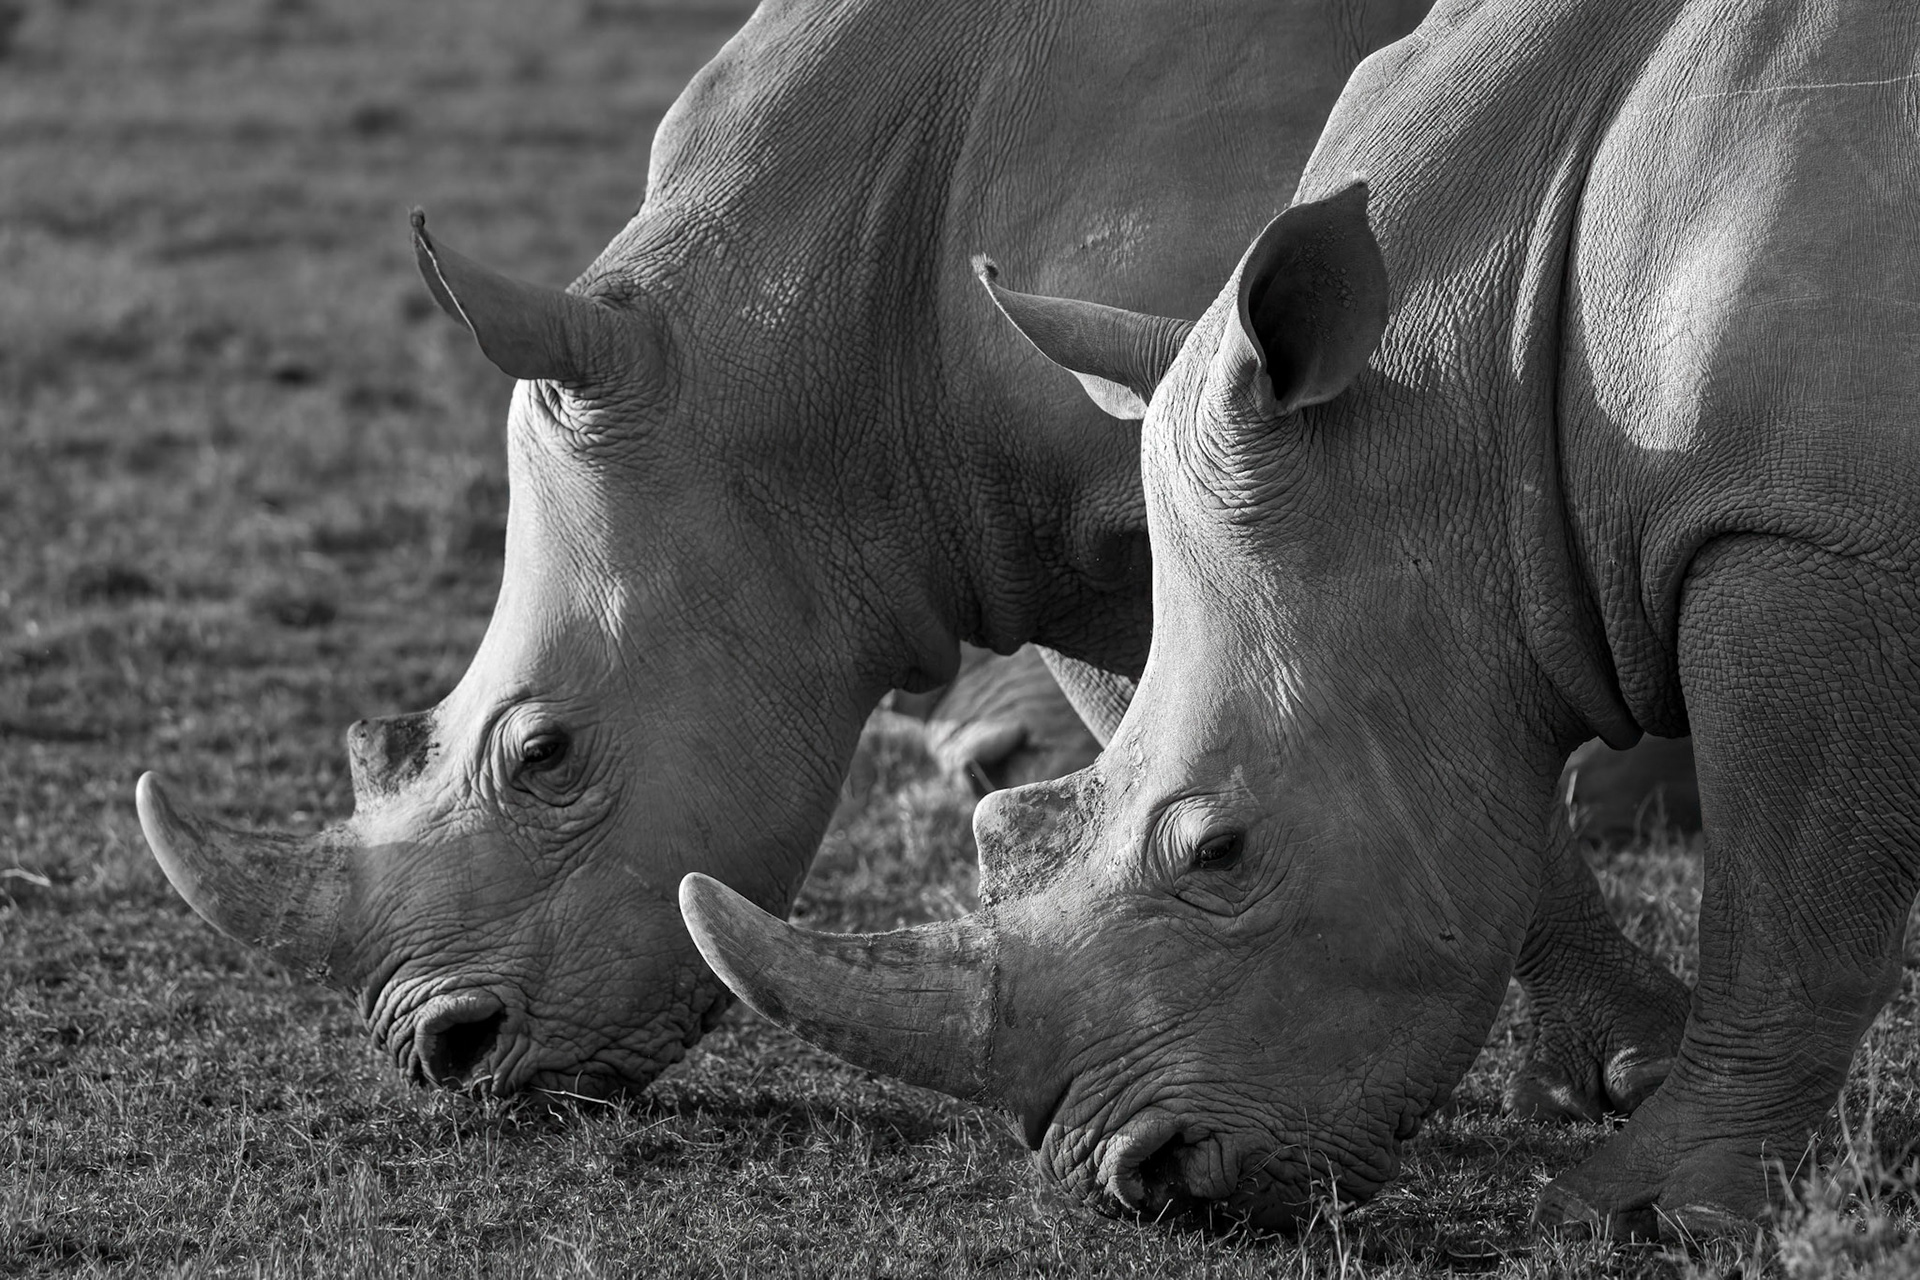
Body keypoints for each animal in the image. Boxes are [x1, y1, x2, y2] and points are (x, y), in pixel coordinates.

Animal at [679, 0, 1920, 1235]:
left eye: (1220, 852)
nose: (1144, 1181)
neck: (1486, 396)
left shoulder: (1805, 529)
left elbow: (1784, 907)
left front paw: (1639, 1210)